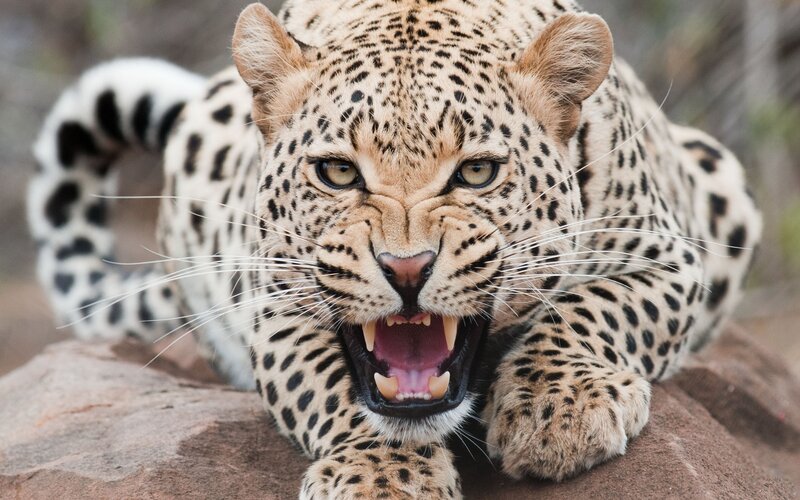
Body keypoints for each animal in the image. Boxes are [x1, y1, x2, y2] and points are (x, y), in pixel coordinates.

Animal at [29, 0, 762, 497]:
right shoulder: (275, 300)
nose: (406, 269)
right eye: (337, 173)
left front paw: (559, 411)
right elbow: (328, 388)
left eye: (476, 172)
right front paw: (381, 476)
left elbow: (596, 308)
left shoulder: (668, 254)